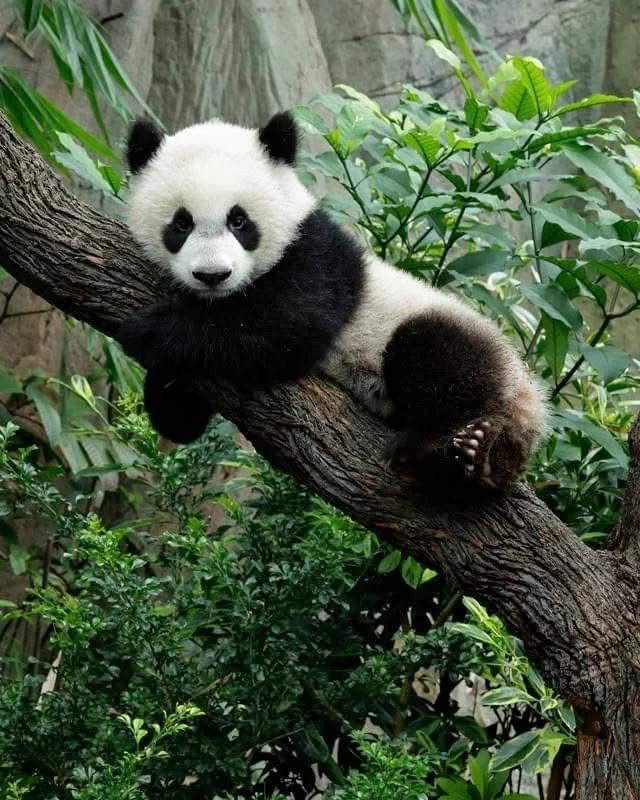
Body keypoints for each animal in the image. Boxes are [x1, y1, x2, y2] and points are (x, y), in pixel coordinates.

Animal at [119, 111, 548, 489]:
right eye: (181, 223)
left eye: (239, 221)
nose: (213, 275)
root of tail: (527, 400)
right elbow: (182, 419)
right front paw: (163, 381)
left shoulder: (318, 255)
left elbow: (283, 327)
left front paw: (148, 331)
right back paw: (483, 458)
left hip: (454, 335)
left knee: (438, 356)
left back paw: (438, 448)